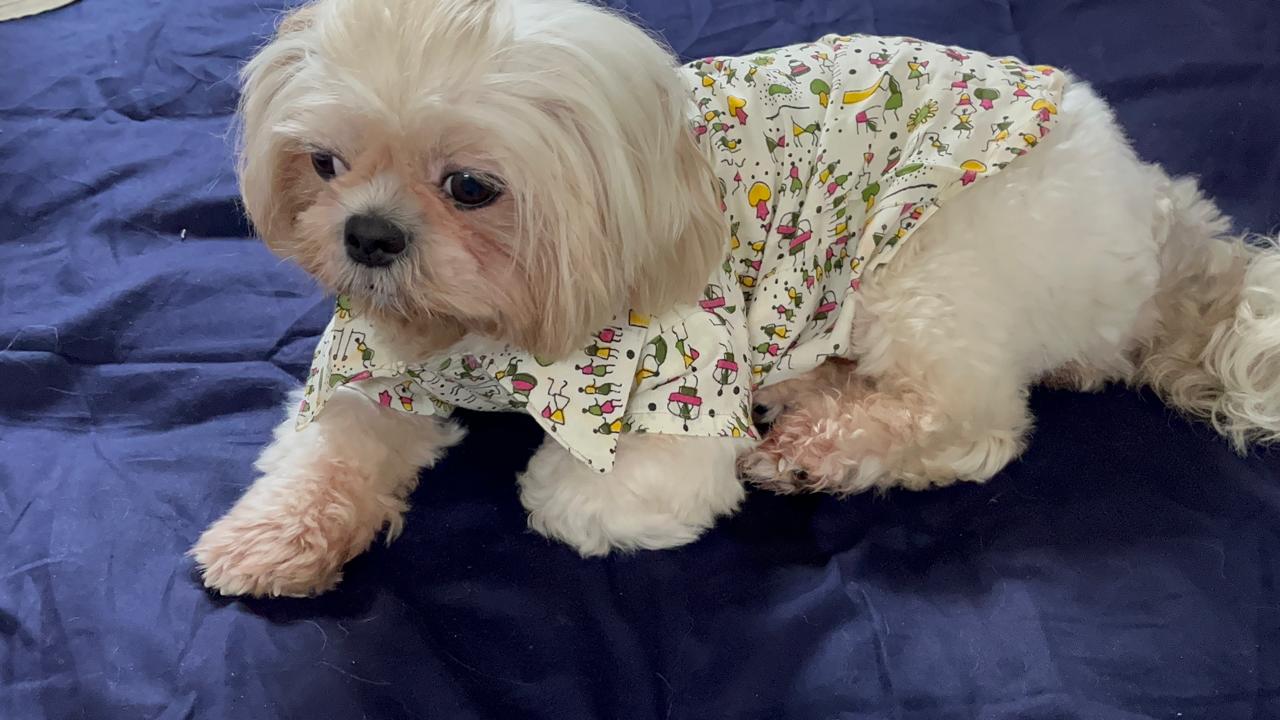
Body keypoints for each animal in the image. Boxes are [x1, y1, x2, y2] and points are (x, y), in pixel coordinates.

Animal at [192, 0, 1280, 594]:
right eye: (323, 164)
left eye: (470, 187)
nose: (367, 236)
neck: (482, 329)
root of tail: (1148, 201)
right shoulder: (372, 363)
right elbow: (330, 448)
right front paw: (273, 536)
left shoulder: (678, 395)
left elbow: (580, 501)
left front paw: (562, 487)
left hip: (925, 267)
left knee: (970, 423)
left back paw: (812, 442)